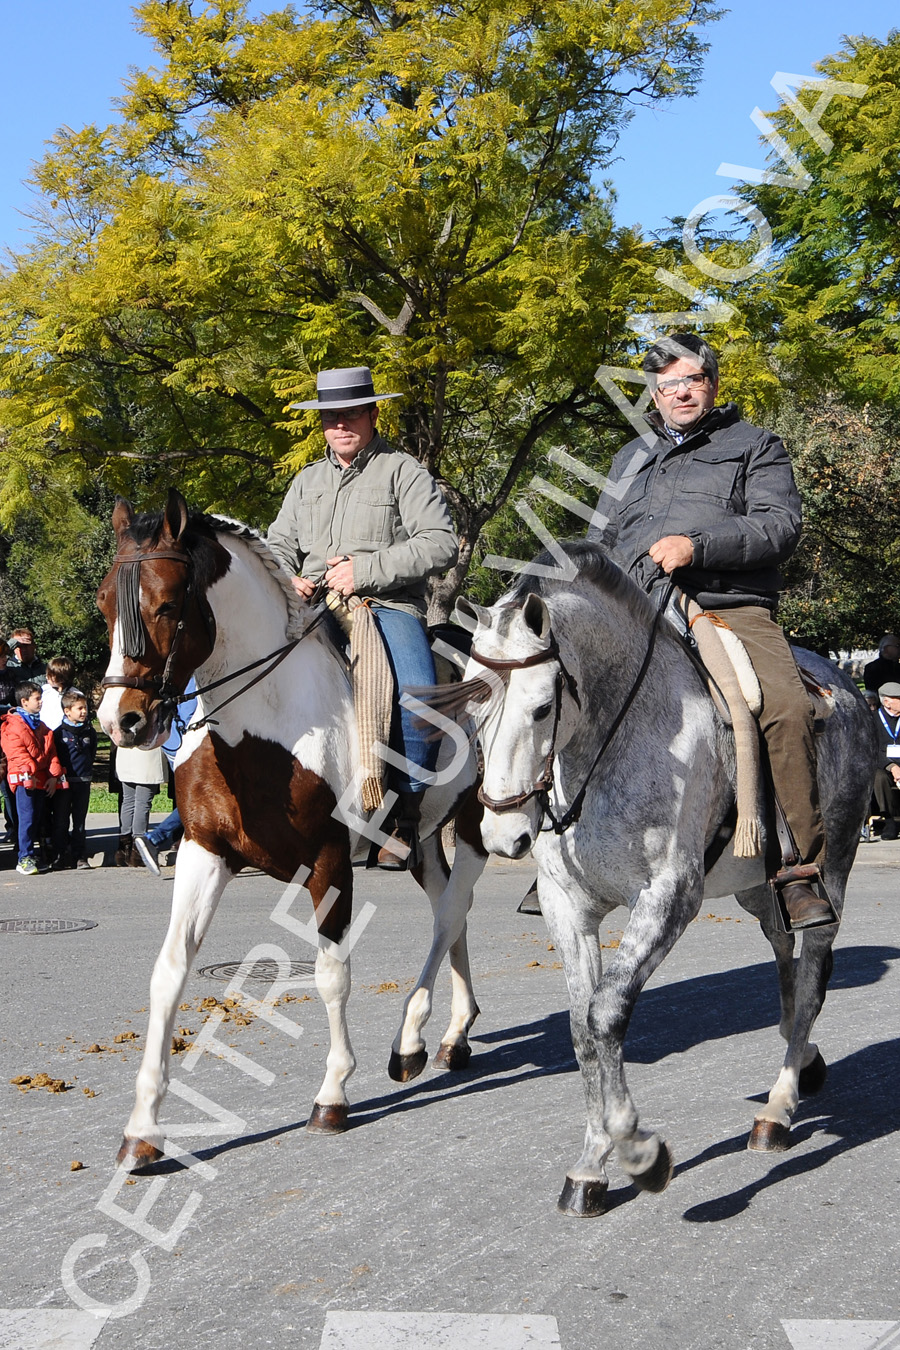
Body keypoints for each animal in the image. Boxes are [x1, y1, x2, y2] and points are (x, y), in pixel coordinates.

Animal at [97, 491, 485, 1166]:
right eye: (103, 603)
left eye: (166, 604)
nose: (121, 721)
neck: (265, 726)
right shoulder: (204, 852)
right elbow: (169, 972)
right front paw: (143, 1129)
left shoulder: (330, 864)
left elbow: (332, 975)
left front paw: (333, 1094)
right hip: (422, 840)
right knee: (449, 910)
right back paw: (450, 1036)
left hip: (477, 821)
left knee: (451, 911)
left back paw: (409, 1041)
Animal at [453, 542, 874, 1220]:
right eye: (474, 707)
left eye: (541, 707)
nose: (502, 836)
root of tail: (847, 689)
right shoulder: (568, 907)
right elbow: (581, 1027)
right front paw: (591, 1163)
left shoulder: (667, 898)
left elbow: (606, 1015)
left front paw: (637, 1150)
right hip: (760, 890)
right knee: (786, 971)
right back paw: (801, 1062)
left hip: (829, 874)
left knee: (809, 980)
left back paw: (778, 1111)